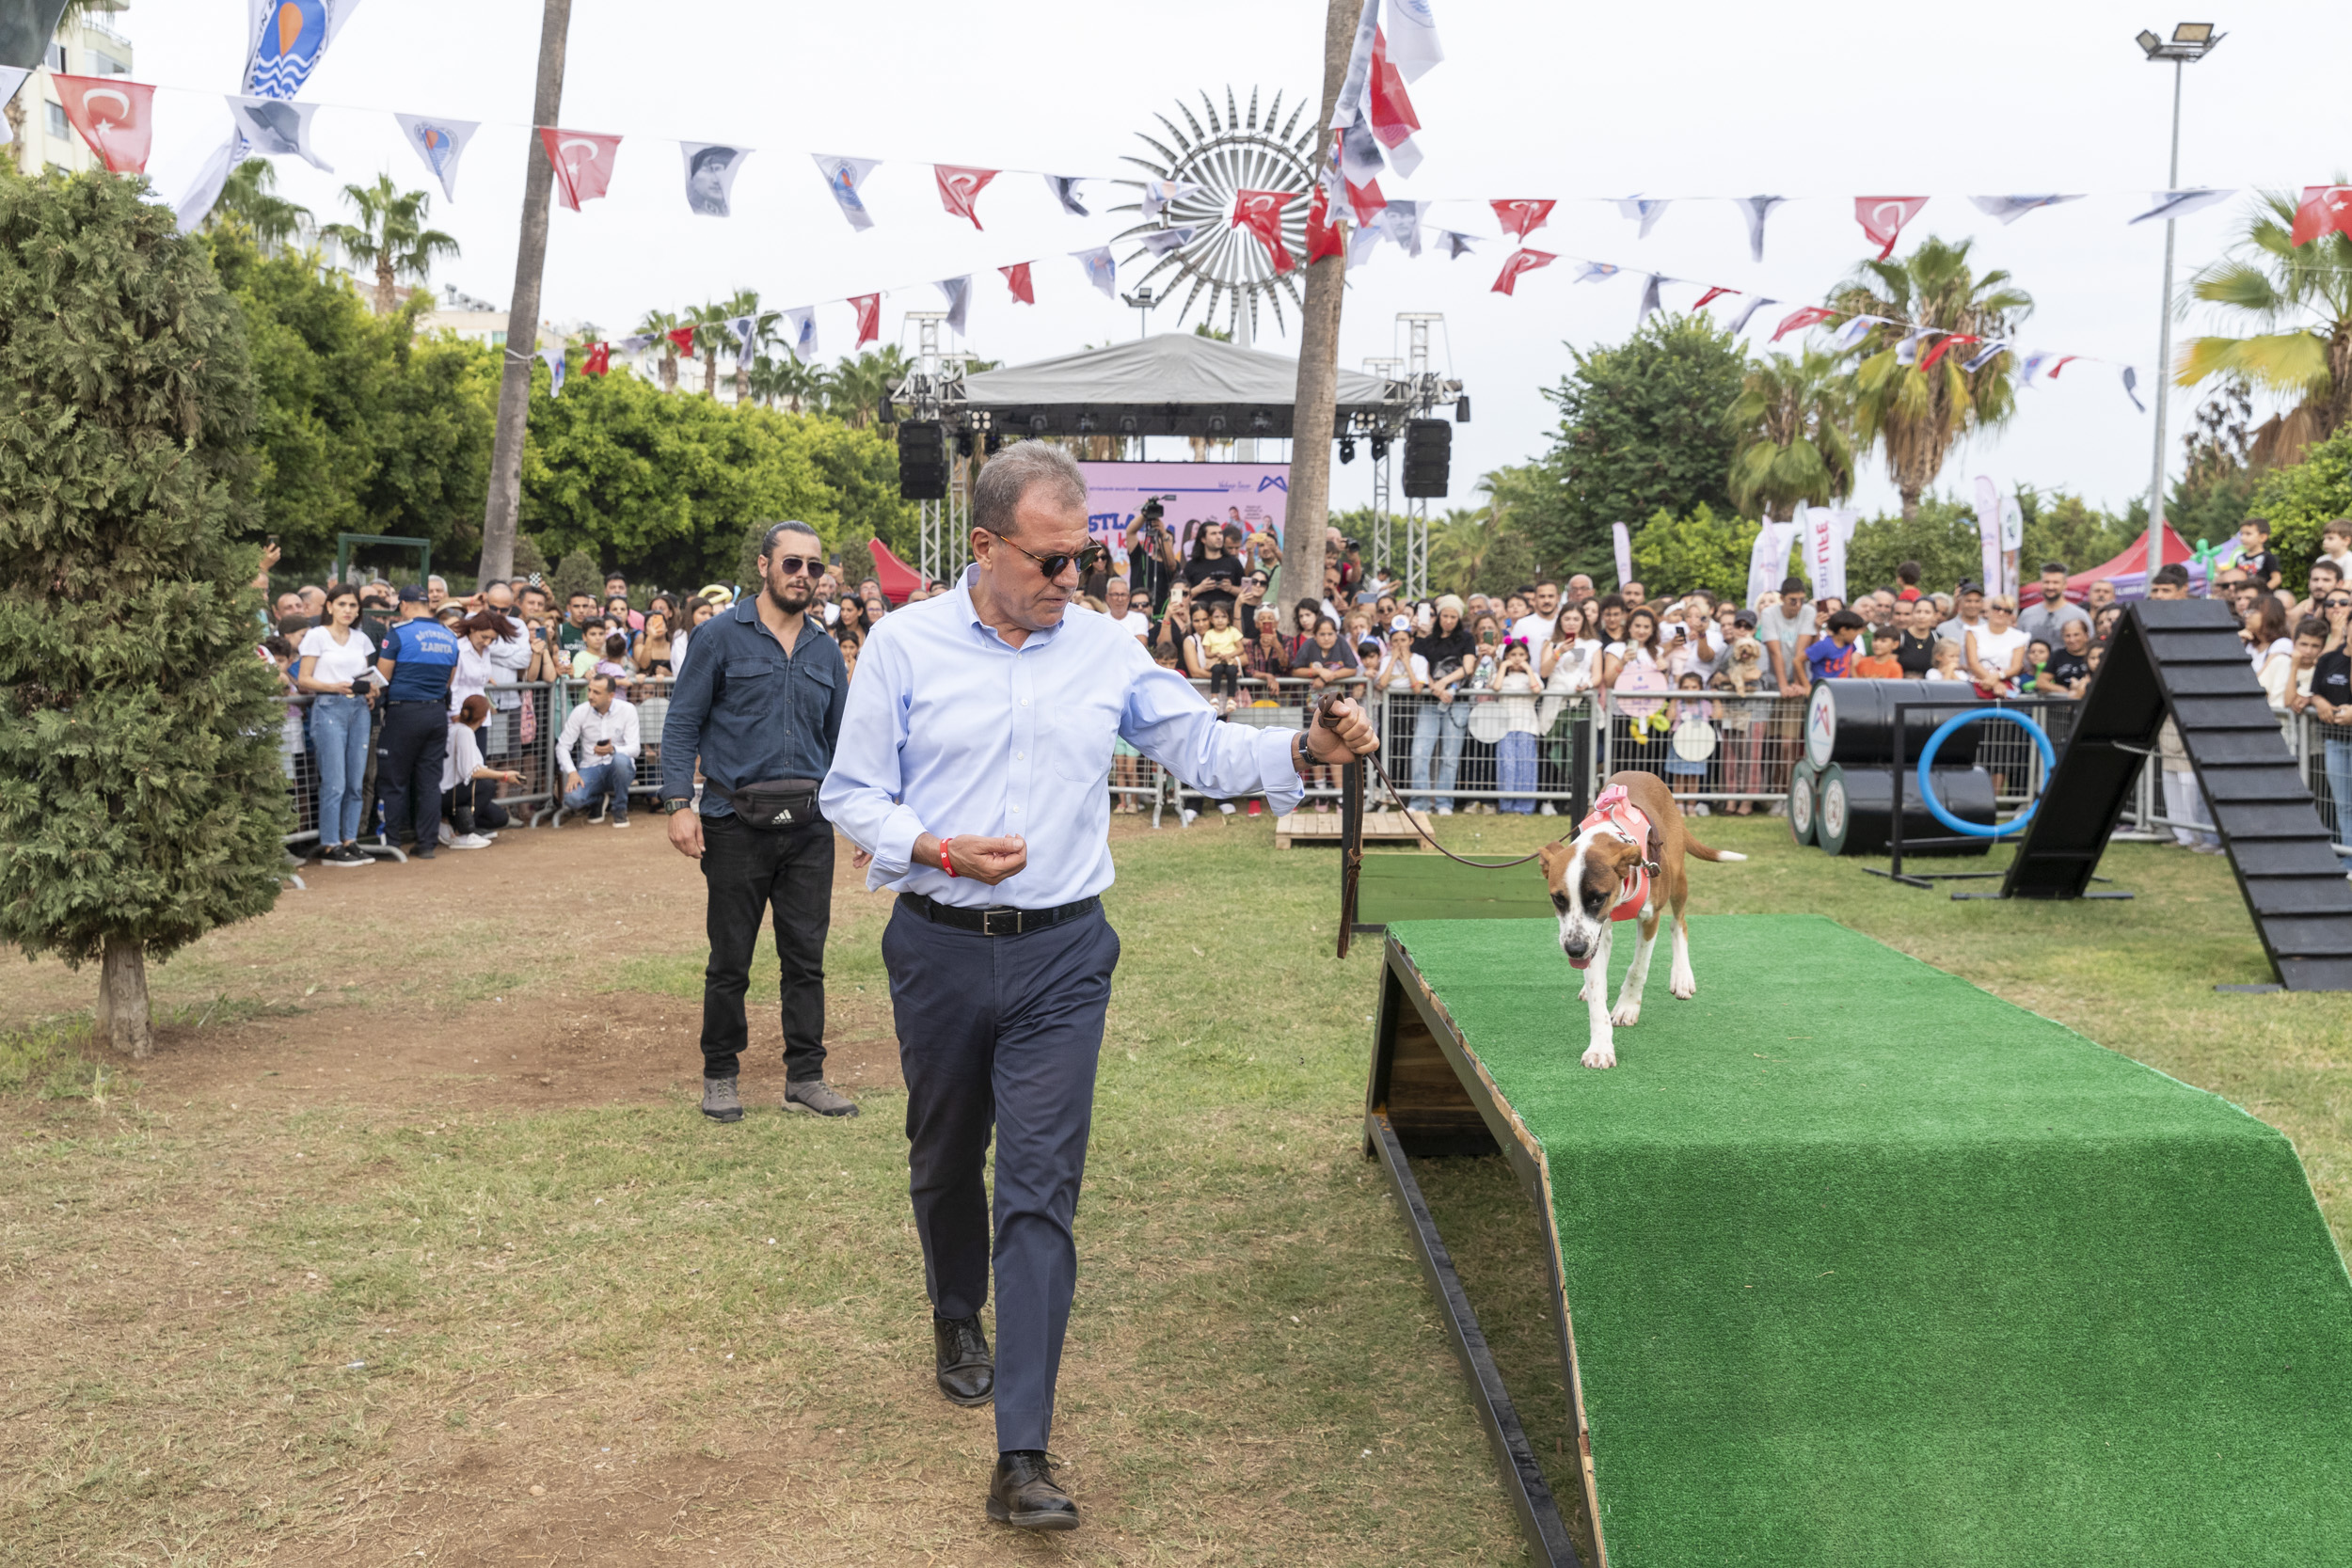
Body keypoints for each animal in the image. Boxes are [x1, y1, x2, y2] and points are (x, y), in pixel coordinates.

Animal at [1534, 770, 1740, 1071]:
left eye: (1597, 898)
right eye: (1558, 899)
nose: (1574, 950)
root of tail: (1642, 771)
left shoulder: (1649, 917)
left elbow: (1638, 968)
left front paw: (1627, 1006)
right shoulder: (1594, 932)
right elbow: (1596, 991)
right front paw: (1600, 1046)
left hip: (1678, 879)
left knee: (1679, 923)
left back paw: (1682, 977)